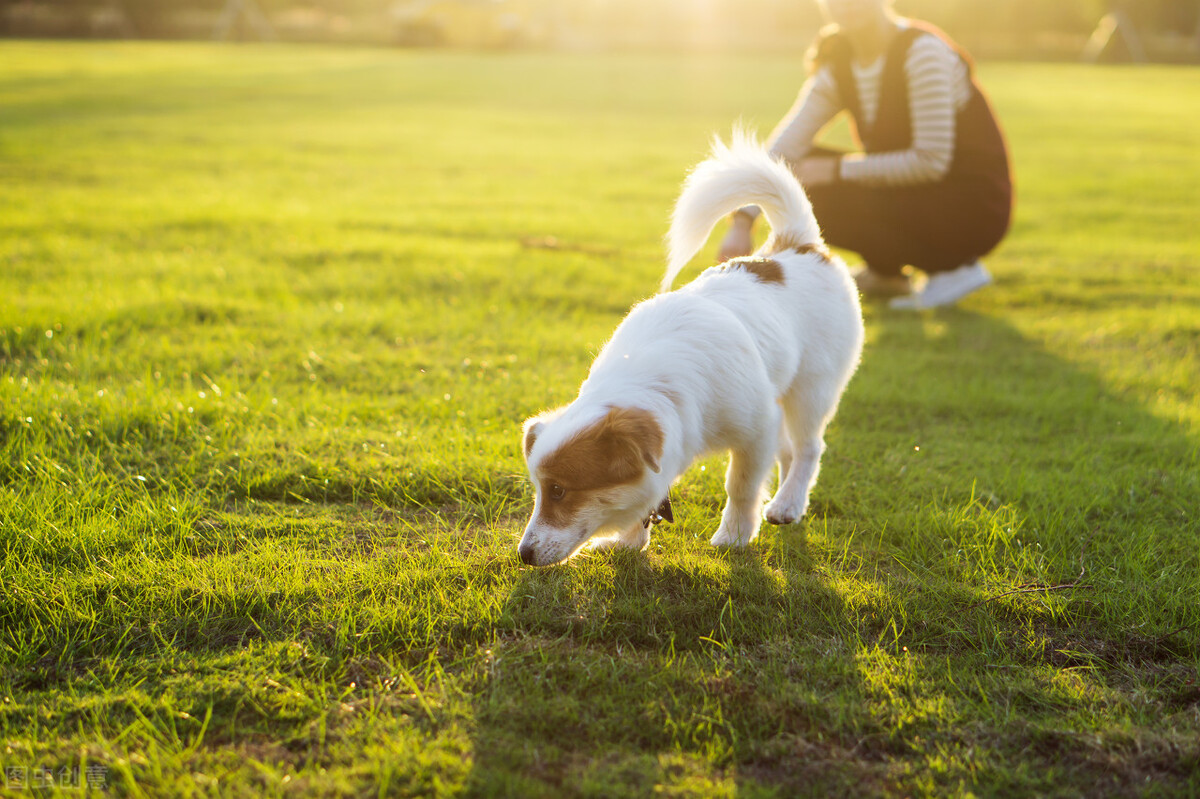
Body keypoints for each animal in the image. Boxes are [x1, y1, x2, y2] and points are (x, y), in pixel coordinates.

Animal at [516, 133, 864, 563]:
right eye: (539, 489)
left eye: (560, 490)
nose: (523, 554)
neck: (652, 379)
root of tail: (796, 245)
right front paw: (629, 540)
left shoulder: (756, 428)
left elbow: (741, 485)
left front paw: (735, 535)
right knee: (788, 451)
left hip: (812, 389)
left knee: (808, 448)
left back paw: (789, 503)